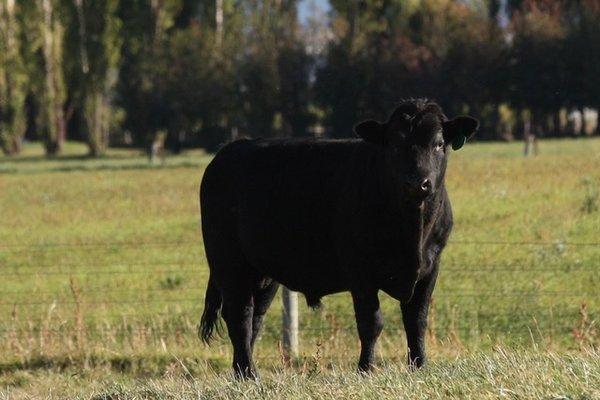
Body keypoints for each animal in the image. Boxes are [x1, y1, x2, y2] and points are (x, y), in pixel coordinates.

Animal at [199, 100, 480, 378]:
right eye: (394, 144)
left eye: (439, 143)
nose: (416, 183)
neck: (412, 234)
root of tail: (231, 148)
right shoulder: (360, 270)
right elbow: (371, 323)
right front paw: (366, 369)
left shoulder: (430, 267)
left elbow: (417, 320)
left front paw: (419, 366)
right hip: (228, 262)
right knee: (239, 316)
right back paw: (249, 373)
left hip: (264, 274)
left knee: (255, 317)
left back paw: (242, 371)